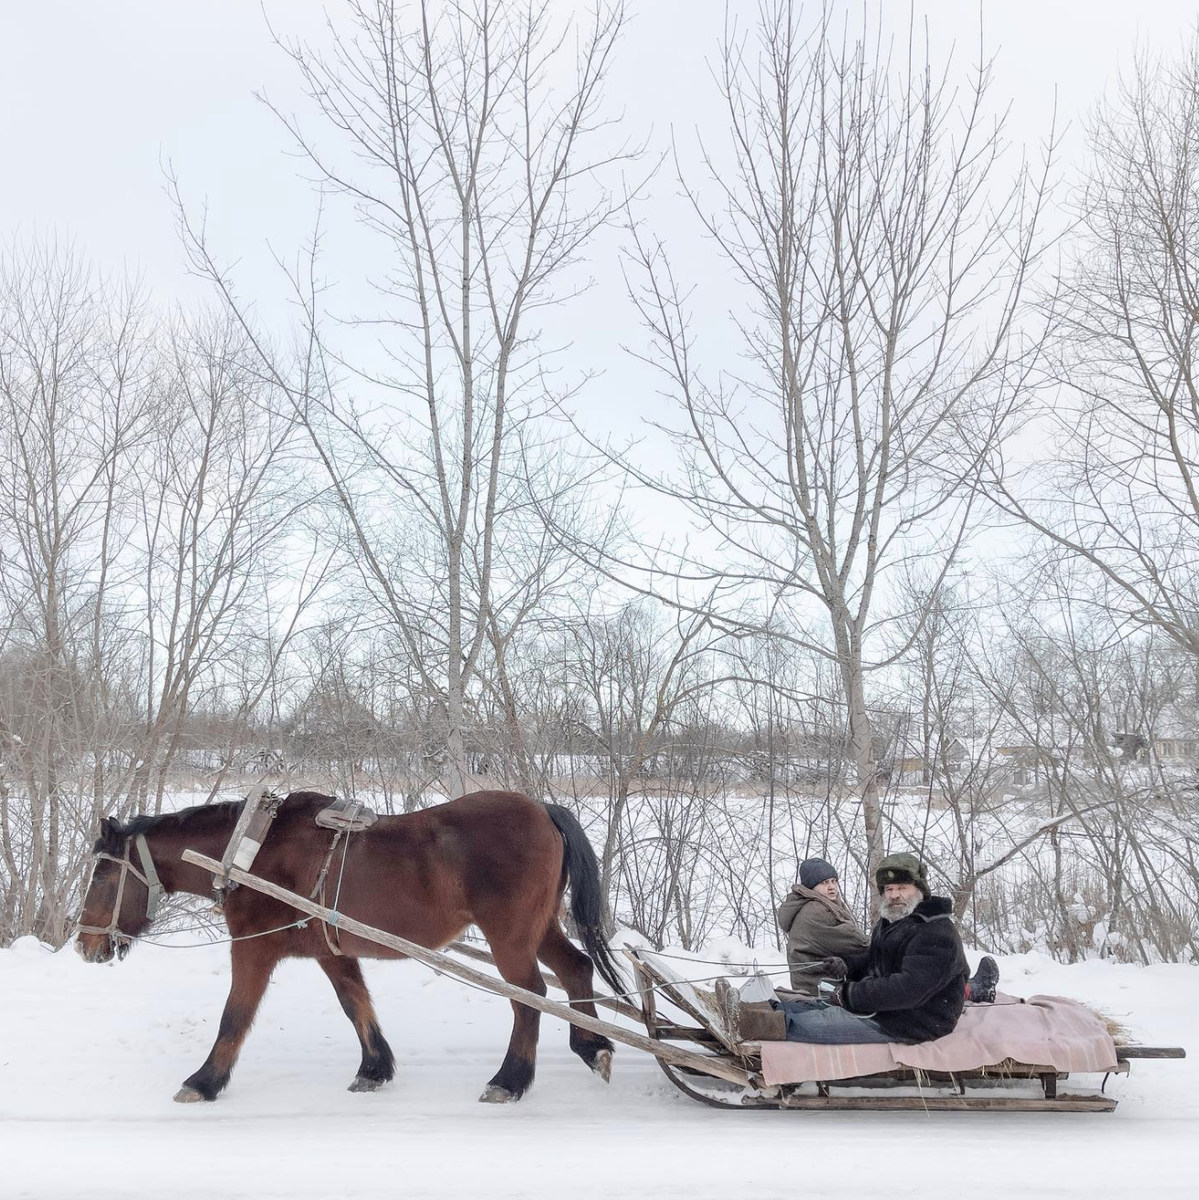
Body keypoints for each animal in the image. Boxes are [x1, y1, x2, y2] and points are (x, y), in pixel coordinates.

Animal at [73, 787, 624, 1104]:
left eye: (102, 875)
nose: (83, 944)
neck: (250, 851)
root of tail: (544, 810)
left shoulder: (252, 947)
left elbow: (235, 1015)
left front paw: (204, 1081)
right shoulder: (329, 951)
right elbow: (355, 1004)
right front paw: (374, 1069)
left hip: (510, 933)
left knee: (529, 996)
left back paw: (509, 1080)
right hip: (540, 926)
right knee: (574, 969)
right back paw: (591, 1046)